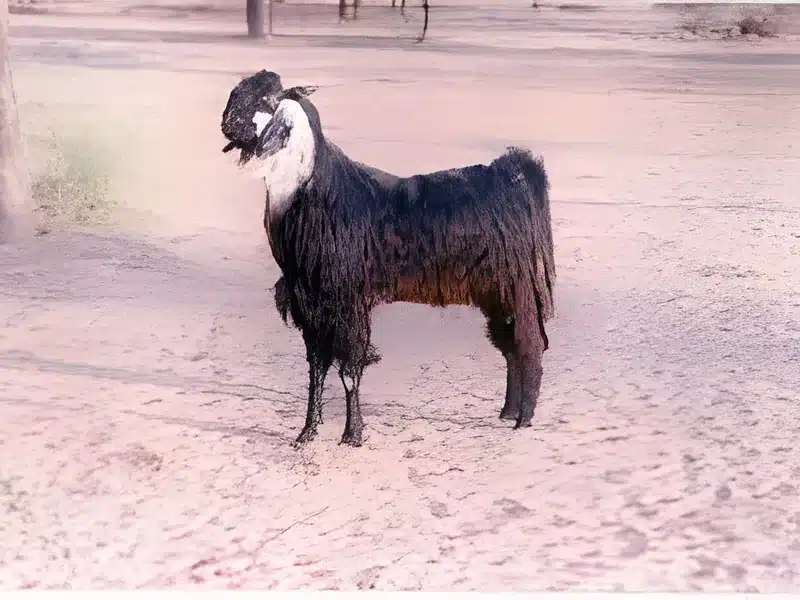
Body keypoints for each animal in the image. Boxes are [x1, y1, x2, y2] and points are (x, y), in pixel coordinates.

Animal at [220, 73, 556, 447]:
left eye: (266, 100)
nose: (227, 125)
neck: (311, 192)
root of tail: (517, 174)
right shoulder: (310, 303)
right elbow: (316, 368)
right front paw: (307, 432)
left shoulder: (346, 302)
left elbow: (349, 369)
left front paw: (352, 435)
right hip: (495, 291)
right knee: (510, 345)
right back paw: (508, 411)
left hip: (517, 285)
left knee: (528, 344)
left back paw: (523, 419)